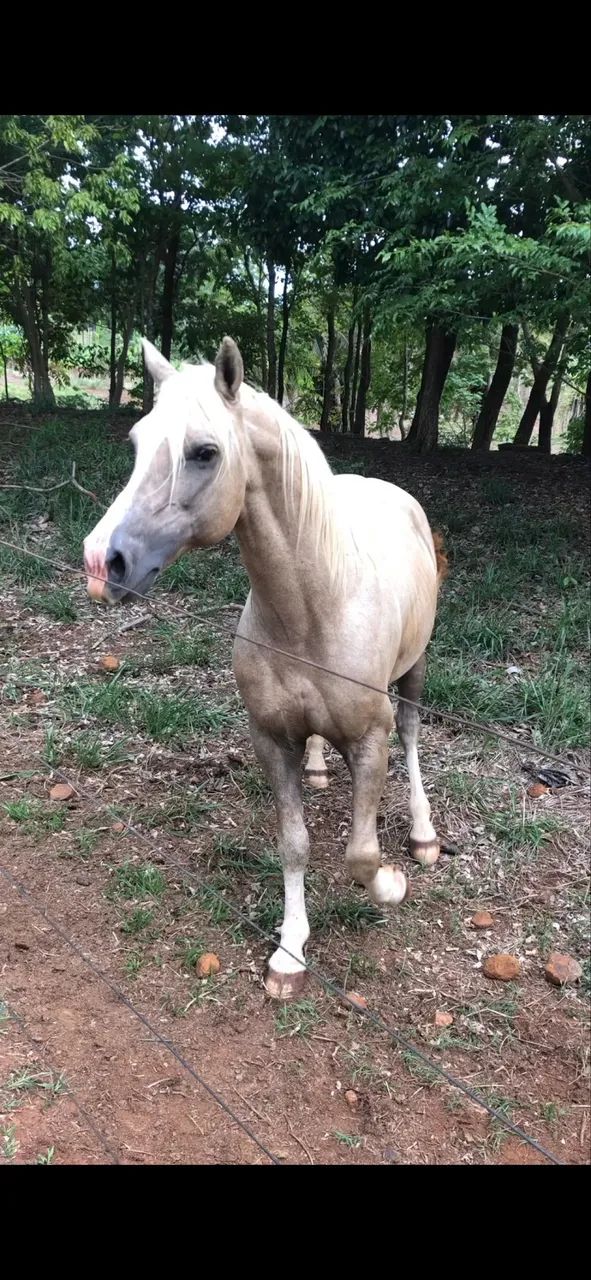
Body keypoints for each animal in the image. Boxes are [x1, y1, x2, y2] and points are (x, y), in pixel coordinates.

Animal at [83, 337, 447, 999]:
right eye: (137, 442)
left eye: (204, 452)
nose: (102, 562)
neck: (314, 609)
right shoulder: (271, 738)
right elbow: (295, 843)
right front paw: (290, 951)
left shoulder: (371, 737)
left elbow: (360, 853)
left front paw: (391, 885)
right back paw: (322, 770)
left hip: (415, 670)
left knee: (412, 737)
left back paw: (422, 834)